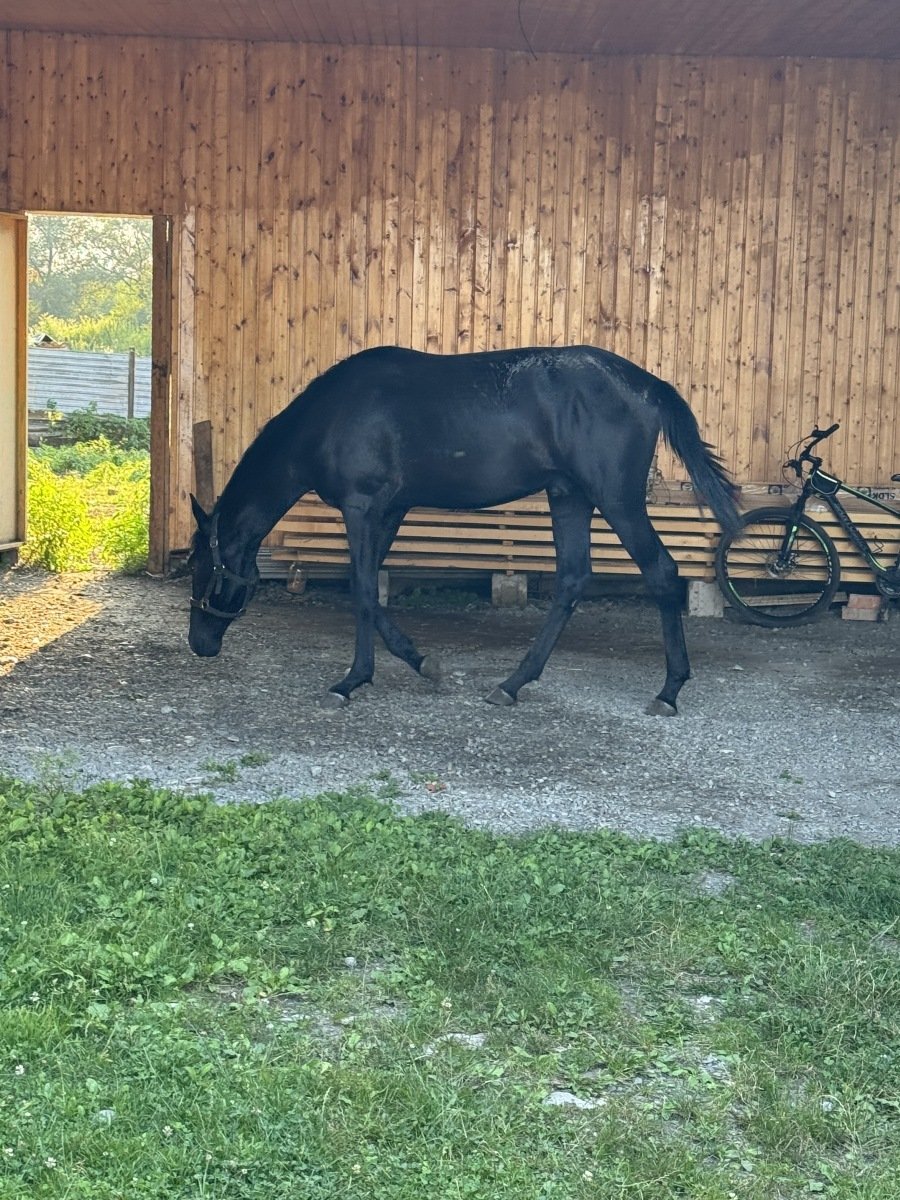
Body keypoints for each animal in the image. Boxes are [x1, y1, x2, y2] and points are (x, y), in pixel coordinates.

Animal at [187, 345, 740, 714]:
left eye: (199, 566)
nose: (199, 644)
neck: (330, 418)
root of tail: (647, 385)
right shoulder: (389, 511)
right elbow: (369, 592)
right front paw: (419, 661)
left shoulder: (363, 508)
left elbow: (361, 590)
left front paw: (352, 680)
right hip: (569, 496)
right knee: (572, 580)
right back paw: (513, 683)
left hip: (615, 498)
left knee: (662, 573)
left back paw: (669, 690)